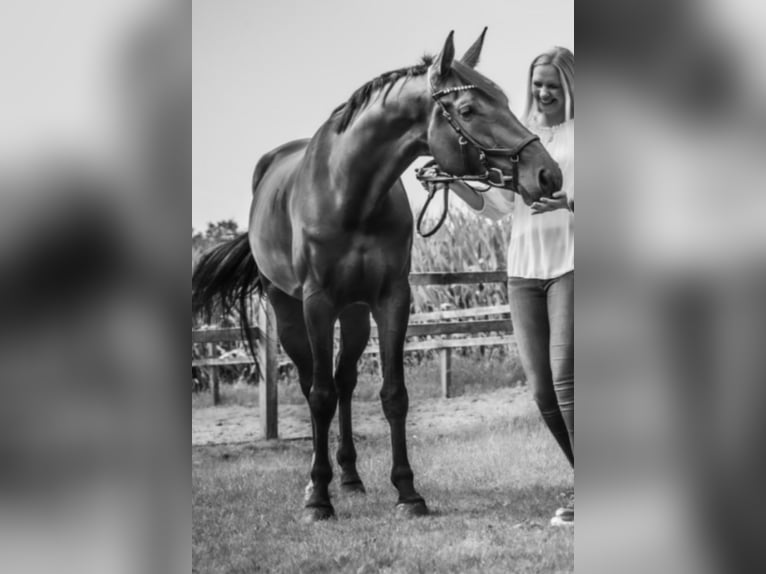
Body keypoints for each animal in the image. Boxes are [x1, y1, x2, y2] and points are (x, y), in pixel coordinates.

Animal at [192, 29, 562, 522]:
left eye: (504, 100)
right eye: (468, 110)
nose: (548, 174)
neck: (349, 193)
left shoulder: (391, 299)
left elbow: (393, 394)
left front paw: (407, 492)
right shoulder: (316, 304)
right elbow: (320, 395)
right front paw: (319, 499)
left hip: (352, 315)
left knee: (345, 381)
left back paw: (350, 476)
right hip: (289, 310)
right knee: (316, 384)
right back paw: (316, 483)